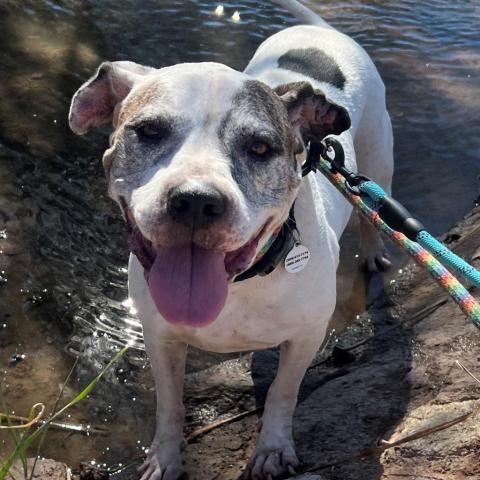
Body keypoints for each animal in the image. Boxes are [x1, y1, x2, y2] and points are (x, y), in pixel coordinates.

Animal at [67, 0, 392, 480]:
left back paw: (373, 254)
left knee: (372, 214)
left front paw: (273, 449)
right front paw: (164, 458)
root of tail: (323, 33)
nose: (196, 201)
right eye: (149, 131)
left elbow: (282, 393)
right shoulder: (160, 338)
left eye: (259, 148)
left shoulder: (307, 336)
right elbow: (169, 405)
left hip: (378, 161)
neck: (240, 283)